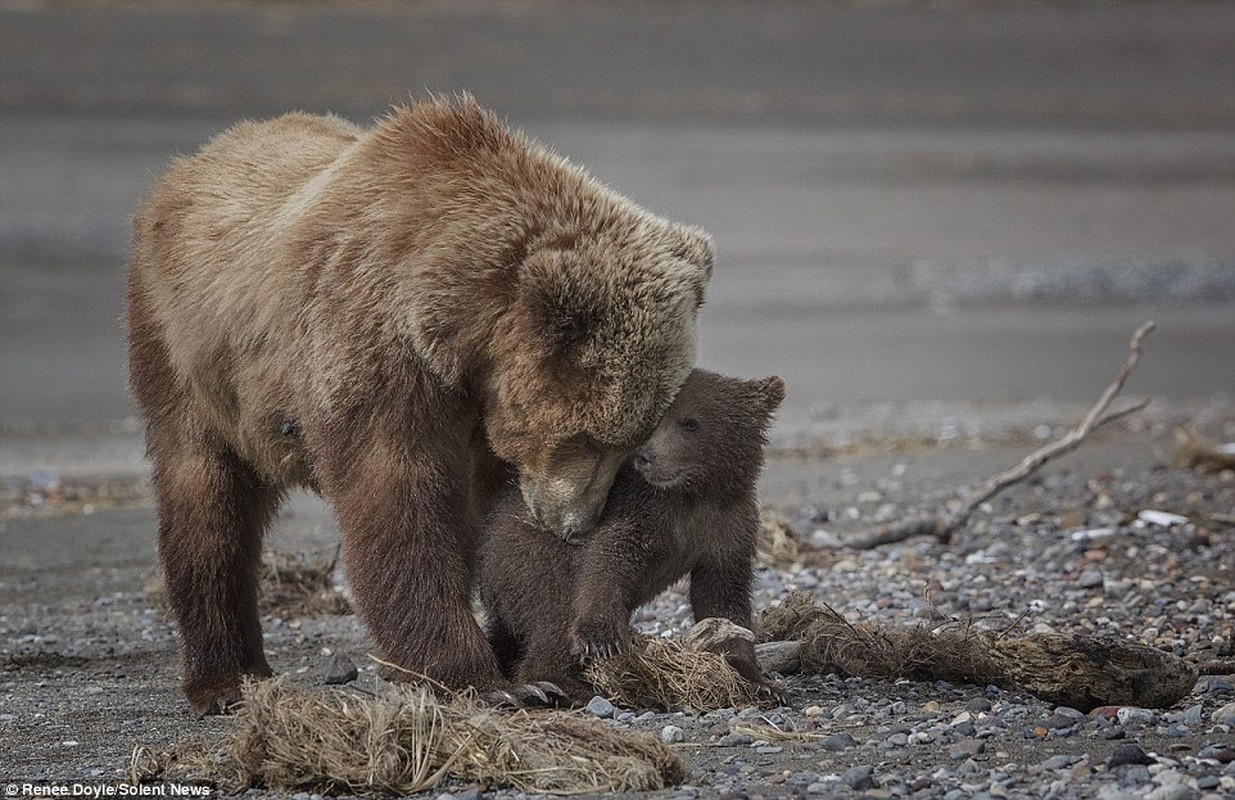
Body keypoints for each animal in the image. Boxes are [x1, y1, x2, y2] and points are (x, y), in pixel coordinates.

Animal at [127, 93, 716, 711]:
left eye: (633, 441)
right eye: (589, 438)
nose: (576, 527)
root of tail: (194, 161)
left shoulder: (480, 411)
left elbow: (491, 523)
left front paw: (529, 662)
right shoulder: (373, 348)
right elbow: (398, 500)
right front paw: (481, 678)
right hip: (187, 354)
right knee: (207, 500)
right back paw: (224, 679)